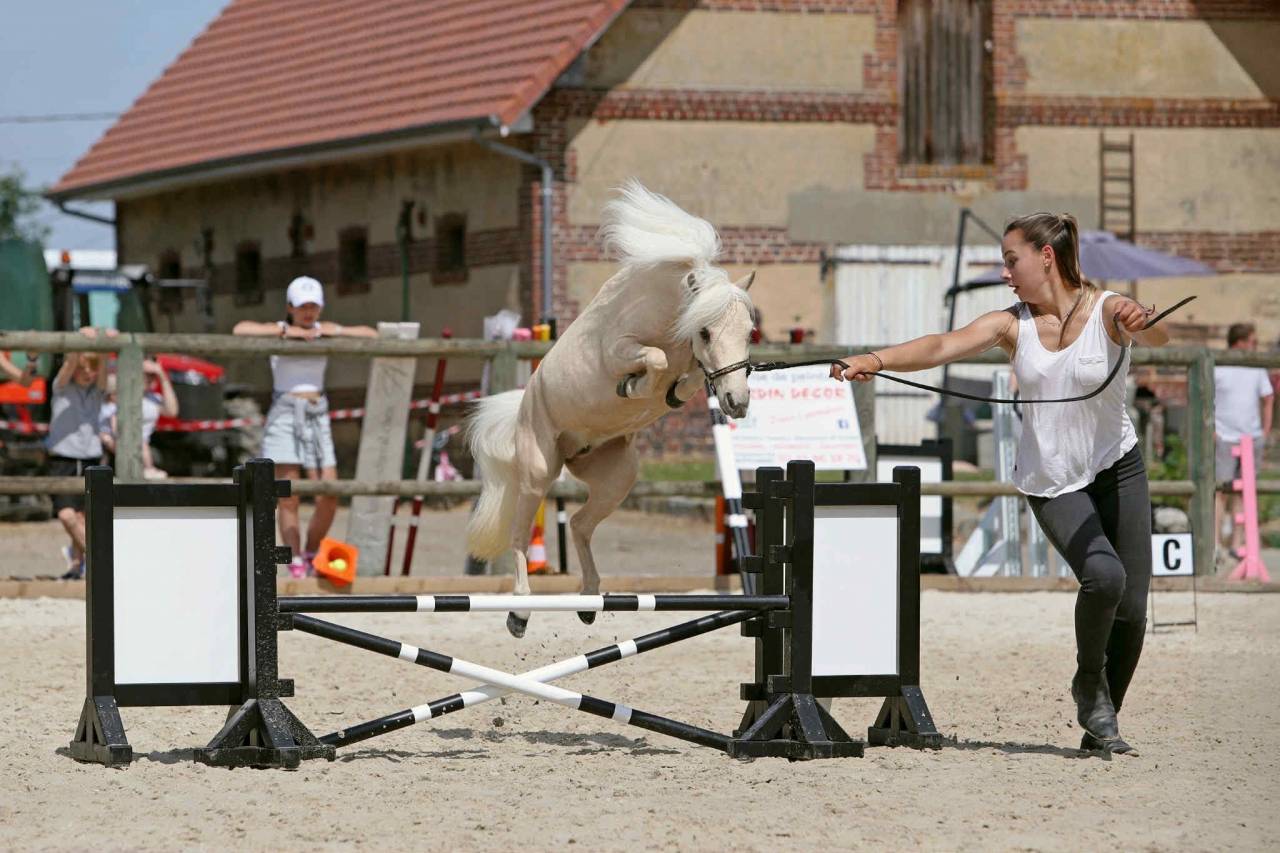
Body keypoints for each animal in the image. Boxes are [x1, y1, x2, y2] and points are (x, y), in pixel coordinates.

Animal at [466, 181, 757, 637]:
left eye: (749, 331)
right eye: (706, 331)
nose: (737, 403)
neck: (666, 309)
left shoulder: (693, 370)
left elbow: (683, 381)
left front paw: (668, 392)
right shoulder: (619, 349)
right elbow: (654, 360)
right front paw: (635, 385)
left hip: (617, 476)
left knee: (581, 525)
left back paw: (588, 601)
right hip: (538, 471)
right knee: (518, 537)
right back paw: (519, 612)